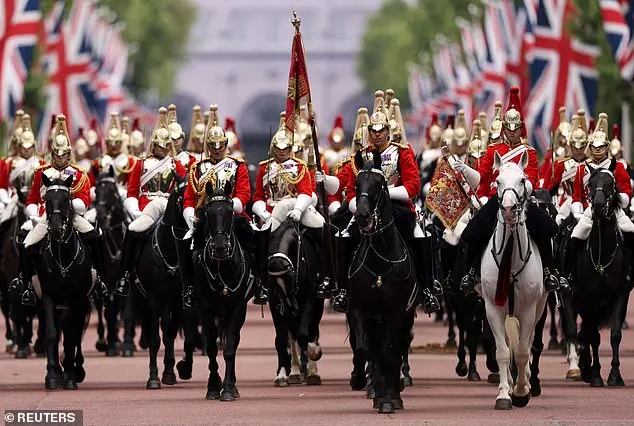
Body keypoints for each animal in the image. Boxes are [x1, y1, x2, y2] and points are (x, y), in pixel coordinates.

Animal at [34, 174, 94, 390]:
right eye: (47, 200)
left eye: (67, 199)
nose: (56, 229)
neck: (63, 258)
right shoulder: (48, 297)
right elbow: (52, 333)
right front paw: (53, 375)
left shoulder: (78, 300)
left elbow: (72, 336)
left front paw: (69, 375)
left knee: (73, 332)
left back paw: (76, 369)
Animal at [180, 182, 254, 400]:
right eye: (208, 212)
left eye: (230, 212)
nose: (220, 248)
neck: (223, 268)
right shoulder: (206, 309)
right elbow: (212, 348)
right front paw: (213, 386)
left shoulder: (237, 308)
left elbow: (229, 349)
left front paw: (228, 388)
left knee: (234, 342)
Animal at [348, 152, 418, 412]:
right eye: (357, 184)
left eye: (379, 184)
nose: (362, 216)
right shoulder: (360, 309)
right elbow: (365, 349)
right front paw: (362, 381)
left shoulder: (396, 311)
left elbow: (390, 352)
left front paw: (390, 400)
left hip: (405, 316)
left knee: (398, 347)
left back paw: (394, 394)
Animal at [572, 166, 628, 386]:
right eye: (590, 184)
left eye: (611, 184)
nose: (596, 207)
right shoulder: (589, 298)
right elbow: (593, 336)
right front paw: (596, 374)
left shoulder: (621, 295)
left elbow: (615, 335)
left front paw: (615, 375)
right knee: (586, 330)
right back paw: (585, 369)